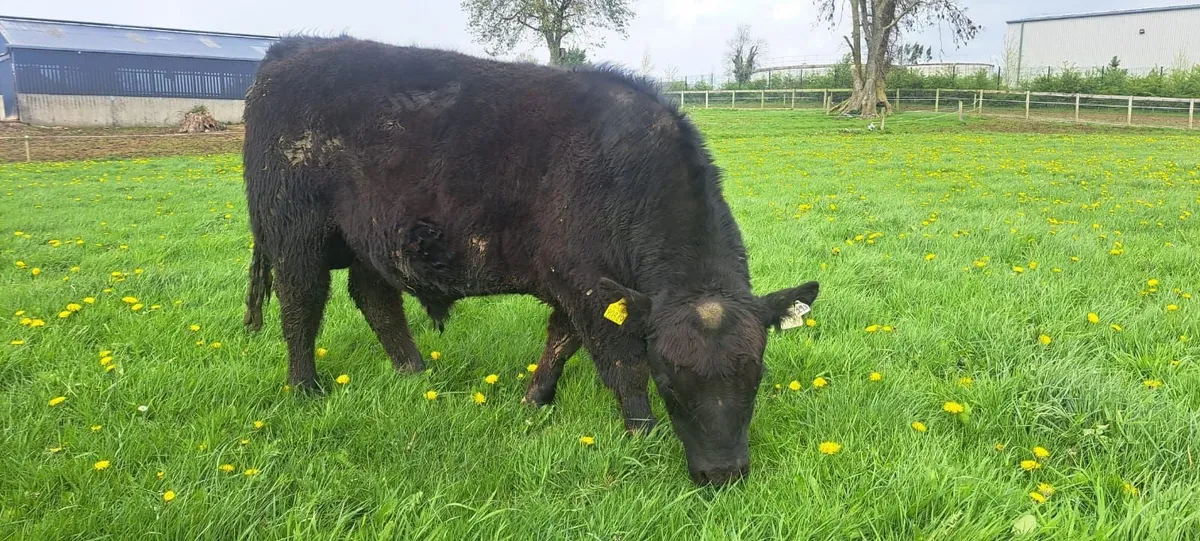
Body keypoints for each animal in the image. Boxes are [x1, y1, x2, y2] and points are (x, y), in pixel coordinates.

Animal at [242, 35, 819, 486]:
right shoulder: (587, 285)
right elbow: (620, 362)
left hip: (371, 241)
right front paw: (641, 432)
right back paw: (306, 388)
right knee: (301, 305)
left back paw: (413, 372)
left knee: (375, 299)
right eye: (671, 380)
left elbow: (560, 342)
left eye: (755, 375)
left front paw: (534, 399)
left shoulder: (580, 284)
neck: (627, 171)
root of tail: (293, 50)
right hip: (294, 231)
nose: (723, 474)